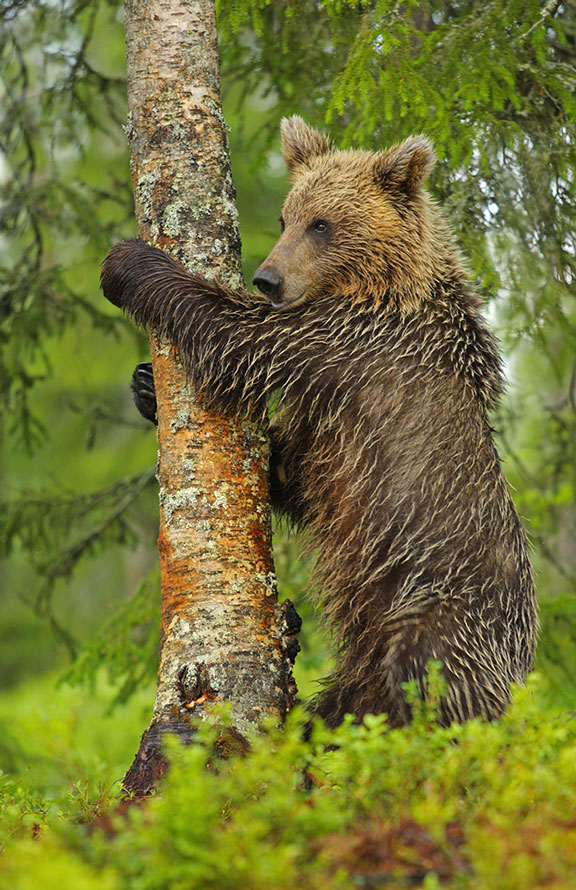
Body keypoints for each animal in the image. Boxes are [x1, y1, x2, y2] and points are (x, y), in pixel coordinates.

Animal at [101, 116, 536, 728]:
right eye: (288, 217)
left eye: (322, 224)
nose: (268, 279)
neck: (383, 284)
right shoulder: (330, 423)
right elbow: (289, 474)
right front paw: (146, 388)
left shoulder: (346, 341)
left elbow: (235, 334)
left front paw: (128, 261)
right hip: (367, 653)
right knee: (344, 707)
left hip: (443, 609)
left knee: (424, 678)